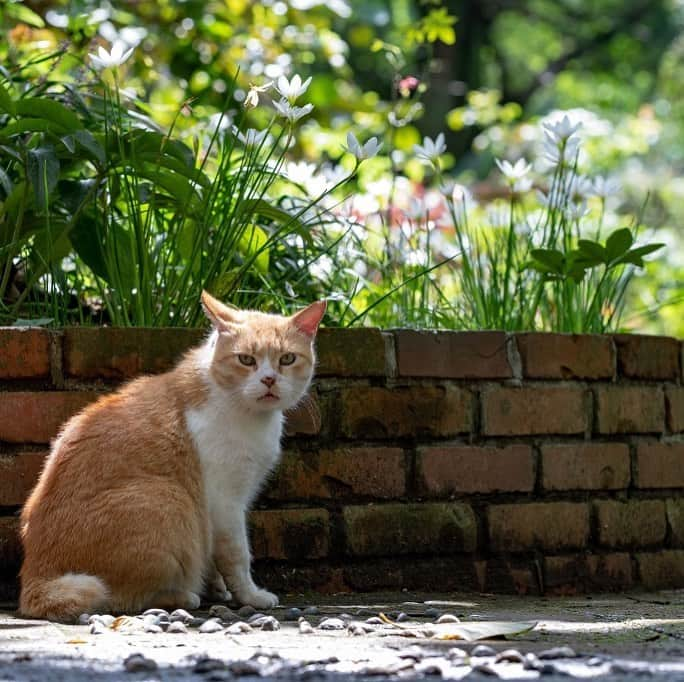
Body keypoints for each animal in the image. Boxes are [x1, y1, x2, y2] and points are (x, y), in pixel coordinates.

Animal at [17, 290, 324, 620]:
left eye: (287, 359)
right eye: (246, 360)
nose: (269, 379)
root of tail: (35, 577)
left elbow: (214, 558)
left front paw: (219, 587)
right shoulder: (225, 502)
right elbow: (237, 556)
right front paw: (250, 596)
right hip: (170, 498)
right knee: (123, 599)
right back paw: (183, 596)